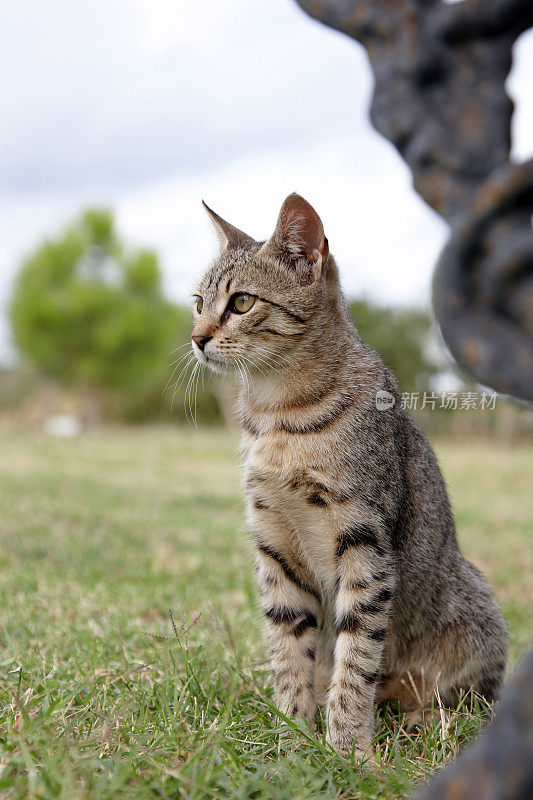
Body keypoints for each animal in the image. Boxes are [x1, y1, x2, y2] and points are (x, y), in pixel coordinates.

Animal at [191, 191, 508, 760]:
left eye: (242, 303)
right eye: (198, 301)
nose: (196, 338)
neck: (278, 412)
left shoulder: (364, 541)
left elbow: (356, 655)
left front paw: (347, 749)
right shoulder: (275, 545)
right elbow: (289, 650)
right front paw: (293, 734)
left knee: (466, 701)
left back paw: (417, 721)